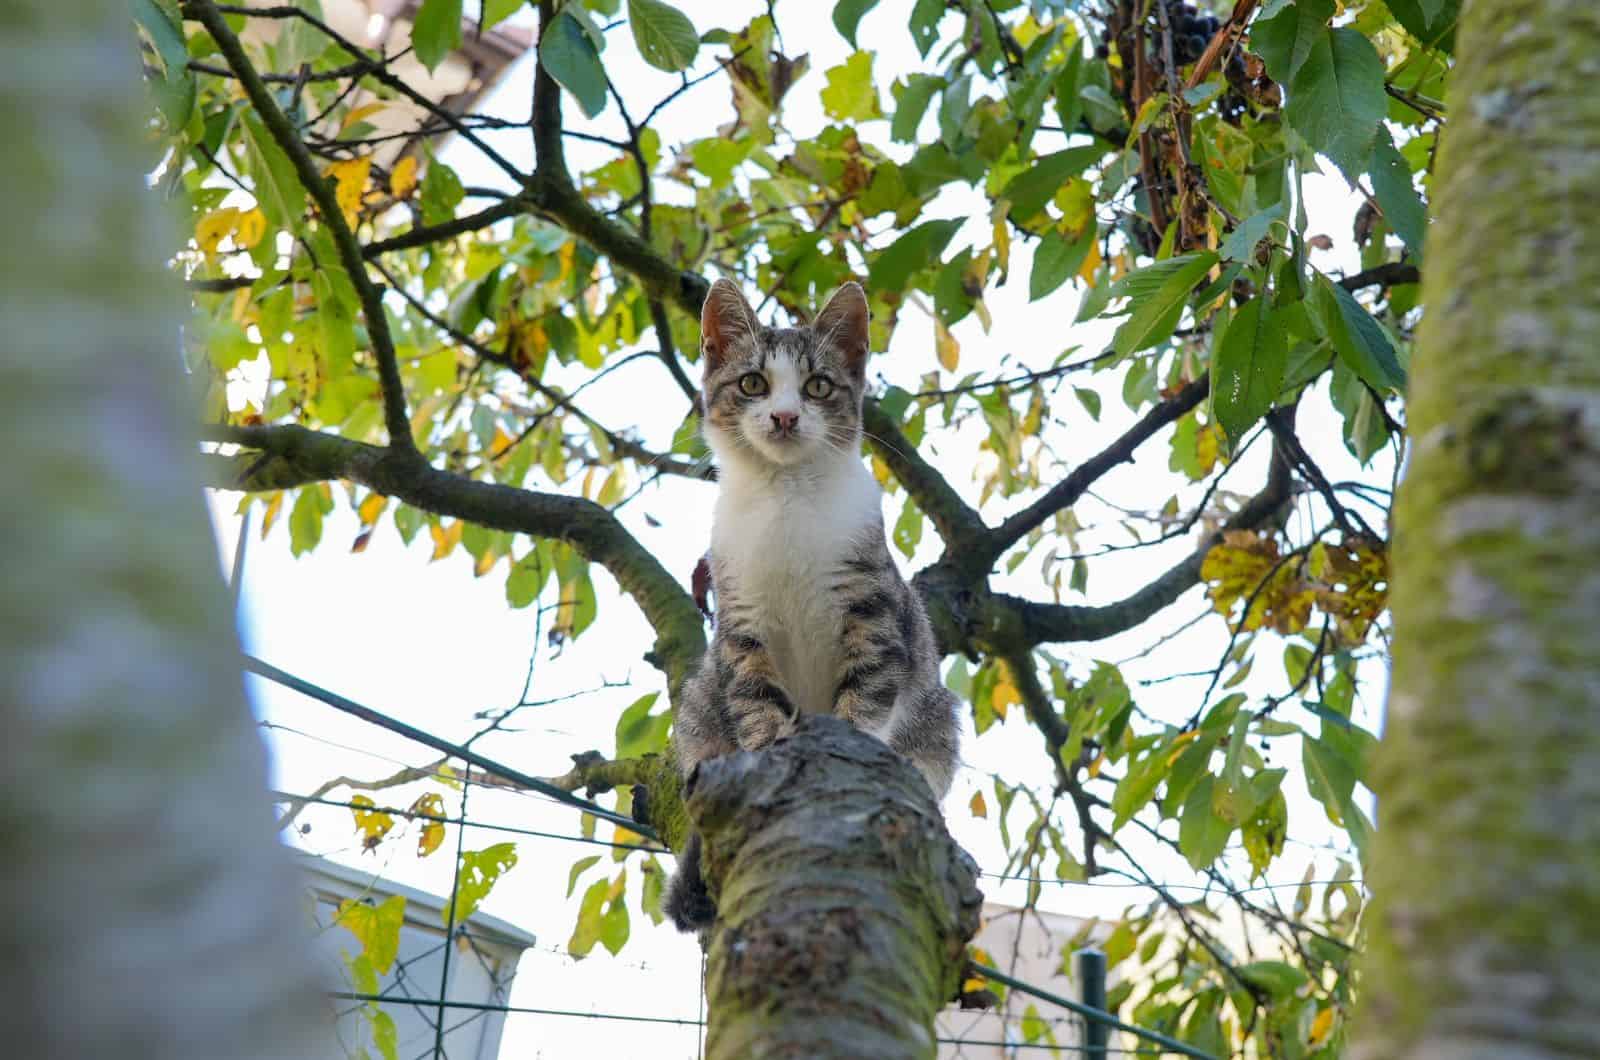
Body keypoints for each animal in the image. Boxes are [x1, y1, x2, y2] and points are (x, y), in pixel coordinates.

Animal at [665, 278, 960, 935]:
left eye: (818, 386)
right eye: (753, 383)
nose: (784, 415)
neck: (786, 498)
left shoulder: (872, 606)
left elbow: (869, 691)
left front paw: (846, 747)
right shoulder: (740, 619)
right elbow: (754, 700)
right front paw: (774, 752)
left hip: (939, 718)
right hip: (699, 703)